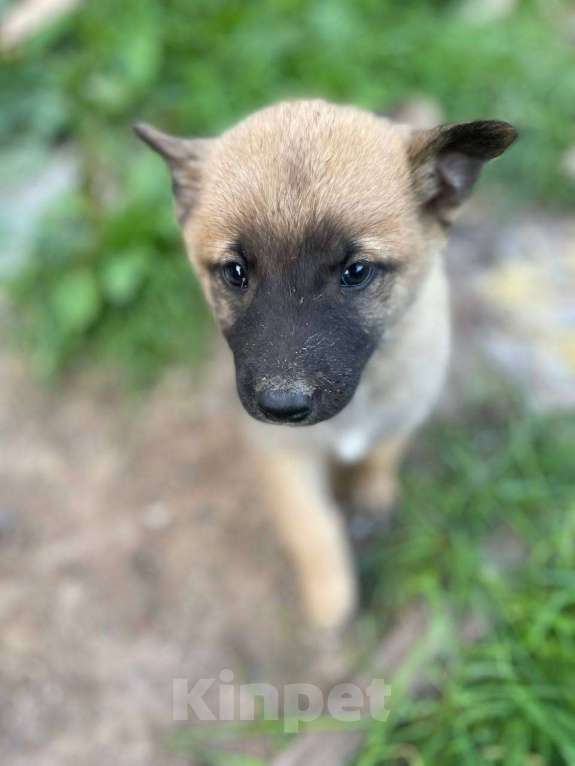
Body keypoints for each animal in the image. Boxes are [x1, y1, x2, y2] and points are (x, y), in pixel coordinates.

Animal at [136, 99, 516, 632]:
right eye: (235, 272)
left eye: (356, 272)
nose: (281, 405)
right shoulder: (282, 454)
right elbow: (313, 526)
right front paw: (332, 599)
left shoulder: (406, 411)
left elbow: (383, 454)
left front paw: (374, 492)